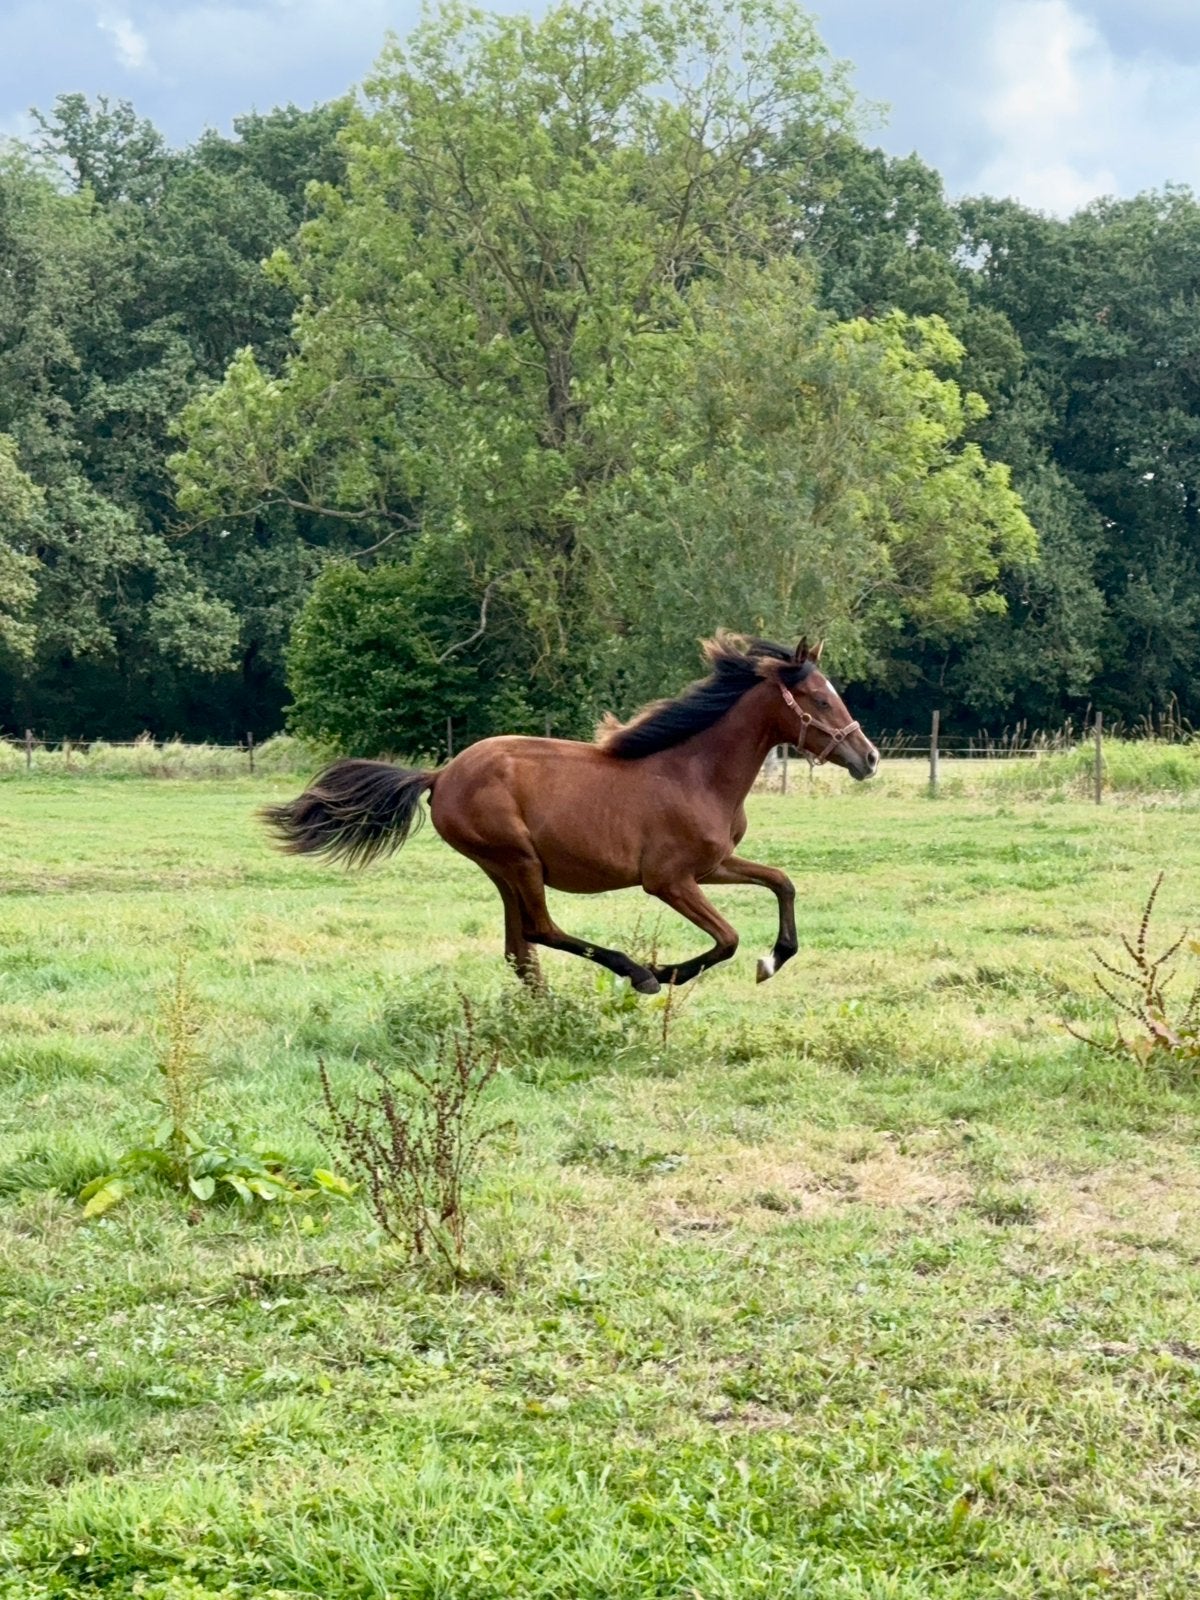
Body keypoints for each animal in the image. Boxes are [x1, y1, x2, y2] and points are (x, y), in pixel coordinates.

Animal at [264, 634, 879, 994]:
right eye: (819, 699)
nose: (868, 757)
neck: (696, 773)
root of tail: (439, 776)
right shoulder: (669, 880)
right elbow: (726, 938)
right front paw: (665, 972)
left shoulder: (713, 866)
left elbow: (782, 882)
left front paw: (773, 959)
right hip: (517, 859)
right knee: (541, 930)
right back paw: (634, 974)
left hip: (505, 870)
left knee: (519, 947)